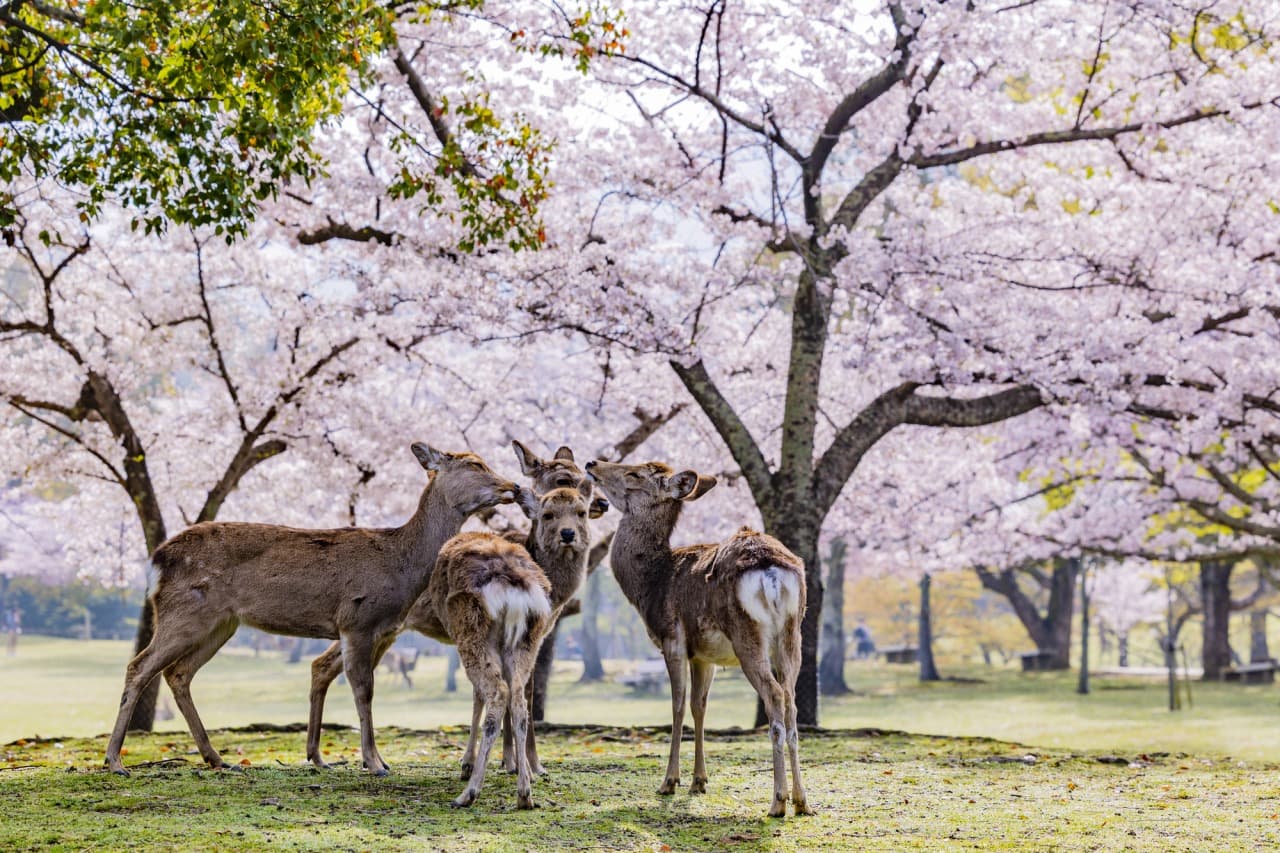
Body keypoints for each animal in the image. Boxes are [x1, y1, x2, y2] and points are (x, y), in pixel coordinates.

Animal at [104, 444, 518, 778]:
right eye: (475, 464)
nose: (512, 487)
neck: (401, 564)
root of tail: (156, 561)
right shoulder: (357, 620)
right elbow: (363, 689)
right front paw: (375, 763)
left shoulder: (383, 629)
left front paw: (368, 759)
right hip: (184, 612)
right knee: (139, 666)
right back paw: (115, 761)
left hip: (221, 624)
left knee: (179, 673)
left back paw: (217, 758)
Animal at [302, 440, 604, 771]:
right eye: (563, 478)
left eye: (585, 477)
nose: (602, 503)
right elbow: (521, 689)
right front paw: (524, 763)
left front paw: (510, 761)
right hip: (366, 625)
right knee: (332, 667)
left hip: (379, 631)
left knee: (323, 666)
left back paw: (319, 754)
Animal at [584, 458, 813, 818]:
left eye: (635, 473)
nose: (592, 463)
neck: (651, 584)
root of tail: (772, 571)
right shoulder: (705, 655)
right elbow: (699, 706)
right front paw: (699, 781)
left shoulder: (672, 639)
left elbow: (677, 705)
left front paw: (669, 781)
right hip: (792, 634)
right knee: (790, 700)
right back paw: (802, 801)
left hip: (747, 634)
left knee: (775, 696)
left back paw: (778, 801)